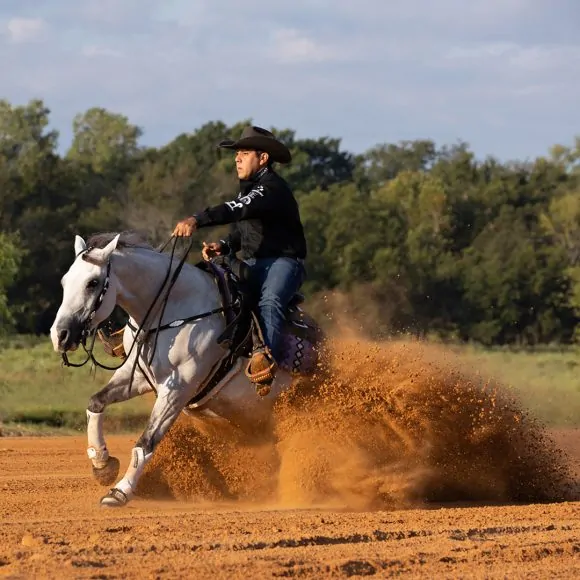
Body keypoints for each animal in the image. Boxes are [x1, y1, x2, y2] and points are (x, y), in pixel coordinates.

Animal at [49, 231, 322, 508]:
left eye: (92, 283)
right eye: (64, 281)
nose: (60, 335)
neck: (173, 311)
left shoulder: (178, 389)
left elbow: (147, 441)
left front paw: (120, 491)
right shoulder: (137, 377)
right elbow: (96, 403)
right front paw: (102, 465)